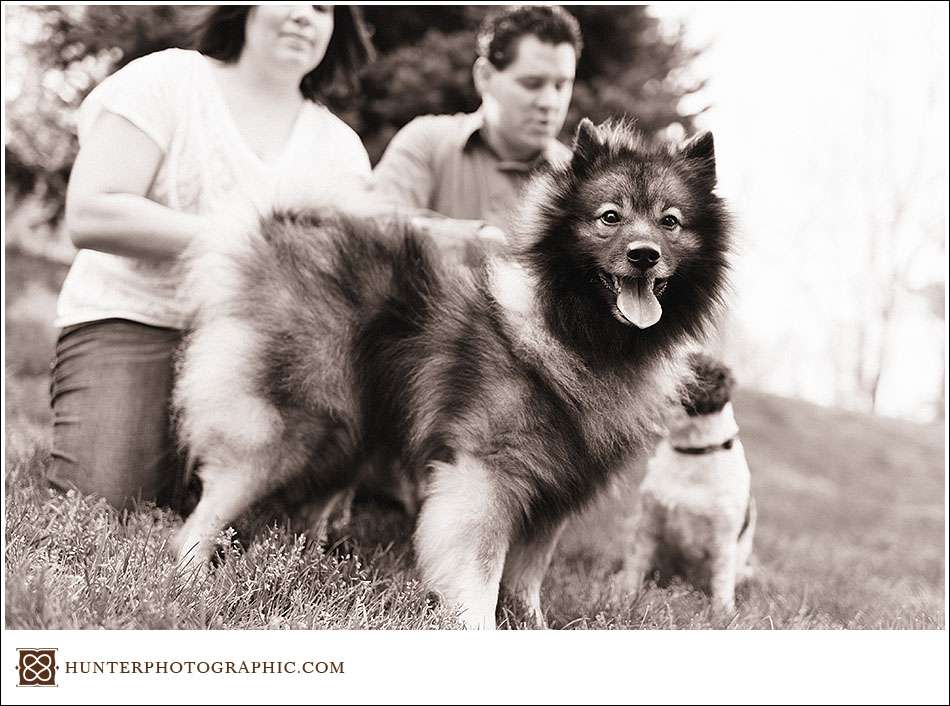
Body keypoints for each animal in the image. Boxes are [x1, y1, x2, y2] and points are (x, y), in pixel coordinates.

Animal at [175, 119, 732, 628]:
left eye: (670, 222)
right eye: (610, 218)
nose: (644, 255)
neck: (577, 336)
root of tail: (275, 235)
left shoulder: (555, 491)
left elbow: (527, 578)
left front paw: (532, 626)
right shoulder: (485, 474)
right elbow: (480, 574)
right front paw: (477, 626)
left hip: (349, 433)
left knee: (308, 510)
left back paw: (304, 566)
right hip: (292, 427)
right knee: (206, 514)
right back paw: (191, 580)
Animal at [620, 352, 756, 612]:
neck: (692, 452)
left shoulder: (724, 535)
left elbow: (722, 579)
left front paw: (723, 613)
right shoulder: (650, 520)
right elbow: (636, 562)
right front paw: (623, 595)